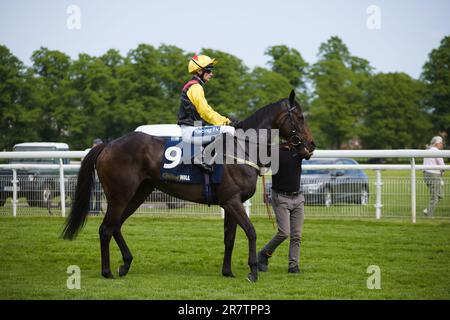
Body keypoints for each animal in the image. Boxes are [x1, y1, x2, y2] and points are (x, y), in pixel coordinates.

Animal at [61, 89, 314, 282]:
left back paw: (125, 264)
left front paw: (228, 271)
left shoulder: (230, 203)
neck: (242, 148)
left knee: (116, 226)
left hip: (137, 194)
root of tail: (107, 145)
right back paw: (107, 272)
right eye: (300, 117)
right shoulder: (232, 201)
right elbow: (251, 232)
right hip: (120, 195)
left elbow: (230, 238)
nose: (311, 145)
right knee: (106, 229)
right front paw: (252, 271)